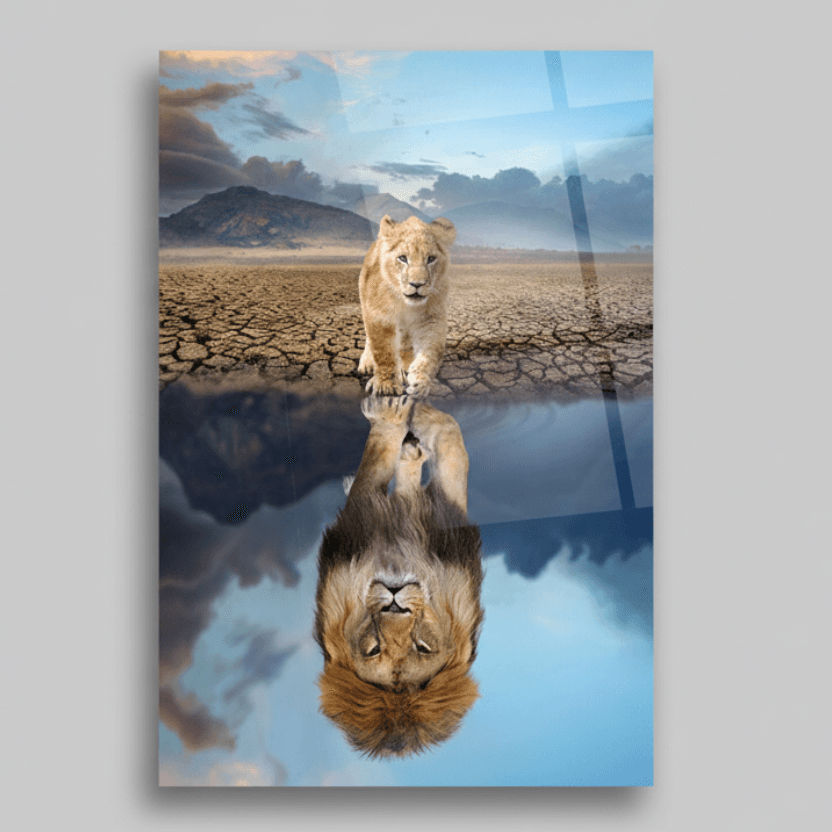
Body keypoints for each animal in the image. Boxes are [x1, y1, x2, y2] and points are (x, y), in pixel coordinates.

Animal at [314, 396, 483, 758]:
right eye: (374, 649)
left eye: (422, 647)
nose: (394, 602)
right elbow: (447, 441)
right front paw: (404, 414)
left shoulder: (446, 524)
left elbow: (447, 443)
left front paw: (402, 414)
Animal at [357, 215, 457, 399]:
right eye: (403, 258)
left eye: (431, 259)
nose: (417, 284)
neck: (406, 304)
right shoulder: (379, 315)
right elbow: (384, 350)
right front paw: (386, 386)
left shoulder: (431, 318)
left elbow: (430, 354)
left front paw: (420, 381)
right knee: (369, 338)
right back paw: (367, 363)